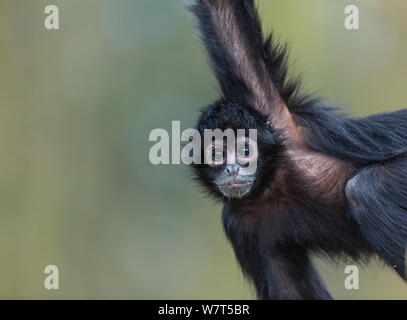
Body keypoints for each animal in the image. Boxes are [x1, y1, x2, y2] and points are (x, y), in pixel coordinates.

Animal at [187, 0, 407, 300]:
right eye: (217, 154)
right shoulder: (238, 223)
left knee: (369, 190)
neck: (272, 185)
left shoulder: (276, 115)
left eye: (245, 151)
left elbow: (224, 13)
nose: (232, 168)